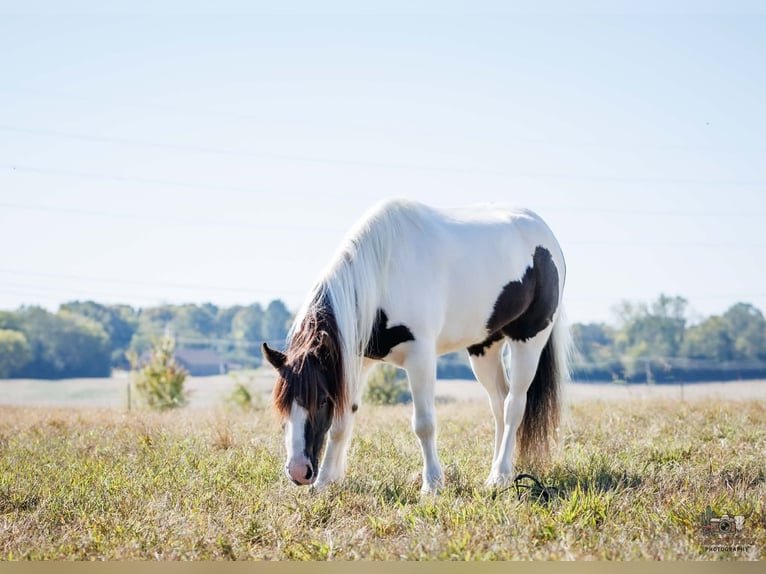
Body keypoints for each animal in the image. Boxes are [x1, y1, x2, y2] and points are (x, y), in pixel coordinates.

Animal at [263, 198, 569, 492]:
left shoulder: (420, 357)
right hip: (485, 346)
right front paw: (326, 481)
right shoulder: (356, 361)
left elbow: (424, 424)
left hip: (529, 341)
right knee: (499, 404)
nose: (298, 472)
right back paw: (498, 473)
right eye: (282, 403)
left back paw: (500, 475)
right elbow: (342, 421)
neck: (383, 272)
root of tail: (543, 231)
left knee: (514, 405)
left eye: (322, 400)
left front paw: (432, 484)